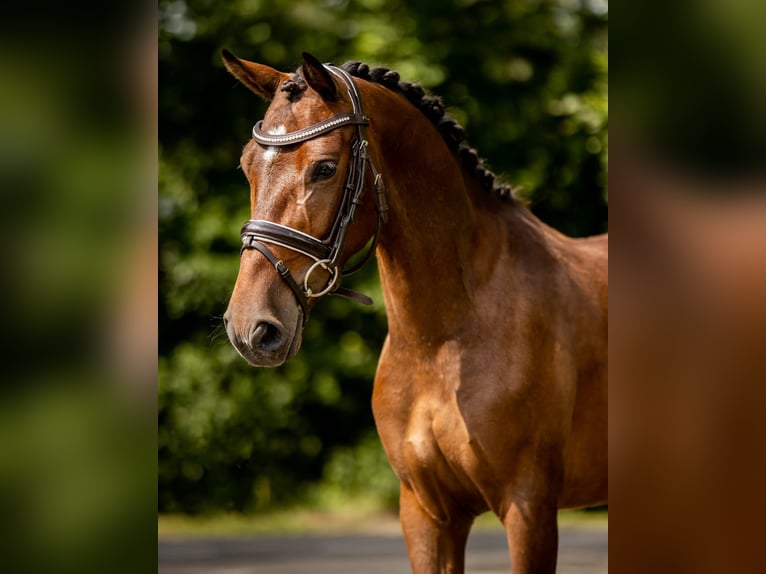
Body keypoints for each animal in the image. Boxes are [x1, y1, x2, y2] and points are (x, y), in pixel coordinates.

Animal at [224, 50, 612, 574]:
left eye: (324, 169)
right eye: (247, 166)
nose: (251, 328)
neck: (444, 338)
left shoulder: (528, 508)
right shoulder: (427, 513)